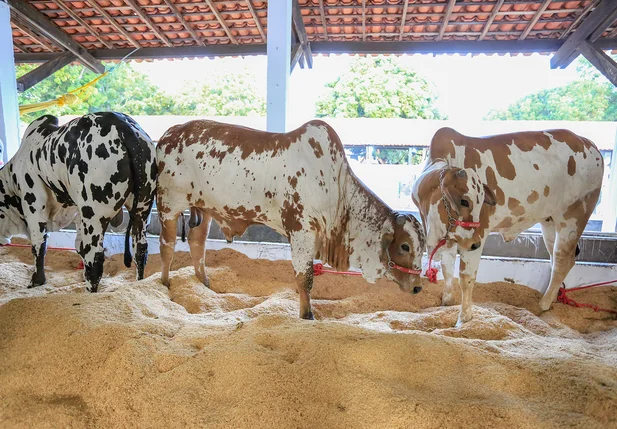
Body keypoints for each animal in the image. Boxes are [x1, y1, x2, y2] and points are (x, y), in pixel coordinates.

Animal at [0, 111, 158, 290]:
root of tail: (122, 125)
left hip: (94, 216)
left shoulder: (34, 209)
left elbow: (38, 246)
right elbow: (77, 246)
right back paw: (138, 283)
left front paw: (36, 281)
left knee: (94, 257)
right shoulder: (77, 215)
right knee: (140, 250)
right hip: (142, 209)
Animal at [156, 118, 426, 318]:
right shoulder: (301, 231)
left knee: (197, 243)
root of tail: (171, 132)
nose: (417, 287)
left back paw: (204, 283)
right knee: (167, 246)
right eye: (405, 246)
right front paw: (307, 315)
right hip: (169, 205)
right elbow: (304, 278)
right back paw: (164, 284)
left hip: (203, 209)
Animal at [412, 126, 604, 324]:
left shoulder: (477, 235)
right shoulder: (450, 237)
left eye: (482, 202)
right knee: (555, 260)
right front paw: (447, 301)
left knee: (562, 260)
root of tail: (588, 144)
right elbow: (447, 270)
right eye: (464, 201)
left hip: (573, 216)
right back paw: (550, 300)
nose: (475, 243)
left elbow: (466, 278)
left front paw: (464, 319)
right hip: (549, 221)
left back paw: (542, 304)